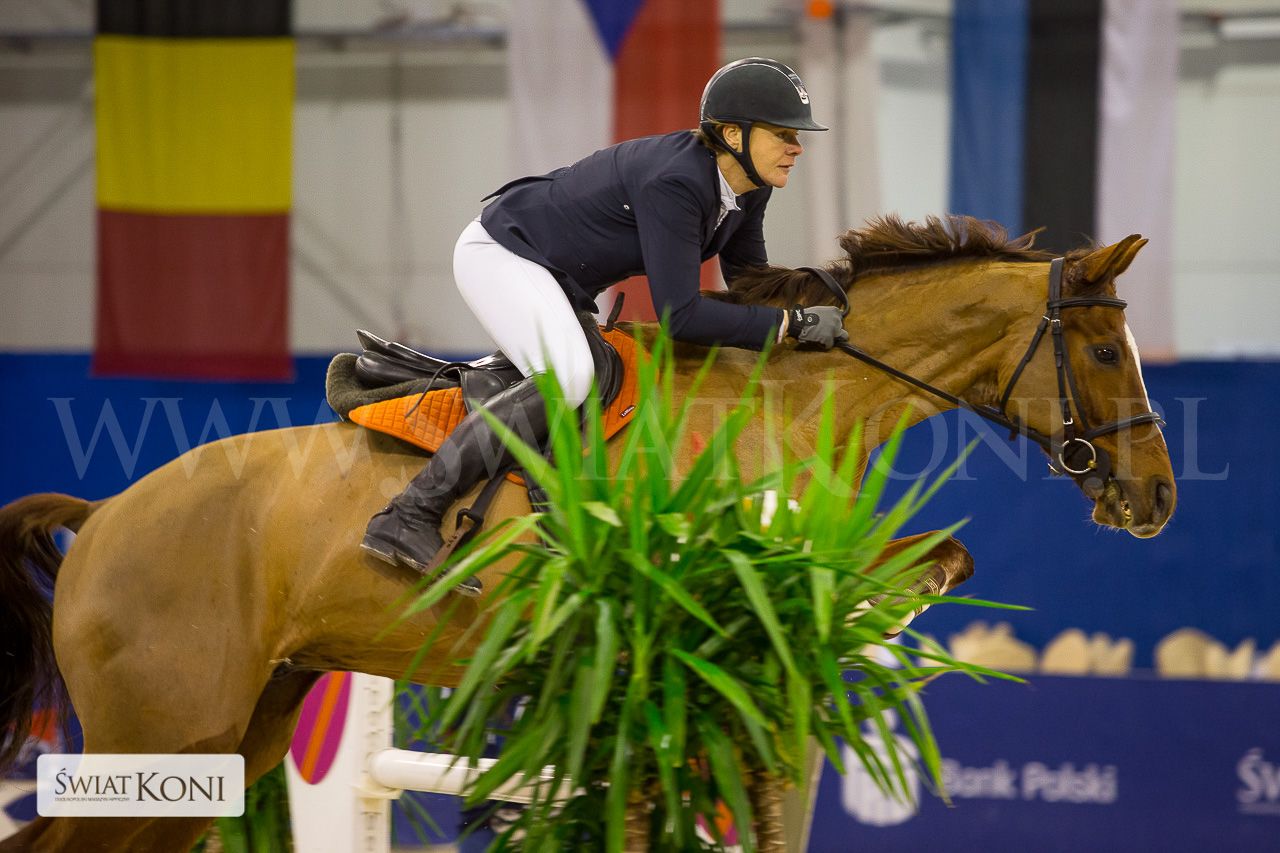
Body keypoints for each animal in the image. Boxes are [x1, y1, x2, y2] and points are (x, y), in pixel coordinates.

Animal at [0, 215, 1175, 852]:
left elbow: (936, 558)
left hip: (238, 733)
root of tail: (102, 518)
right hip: (169, 731)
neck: (792, 396)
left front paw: (881, 629)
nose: (1156, 498)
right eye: (1103, 351)